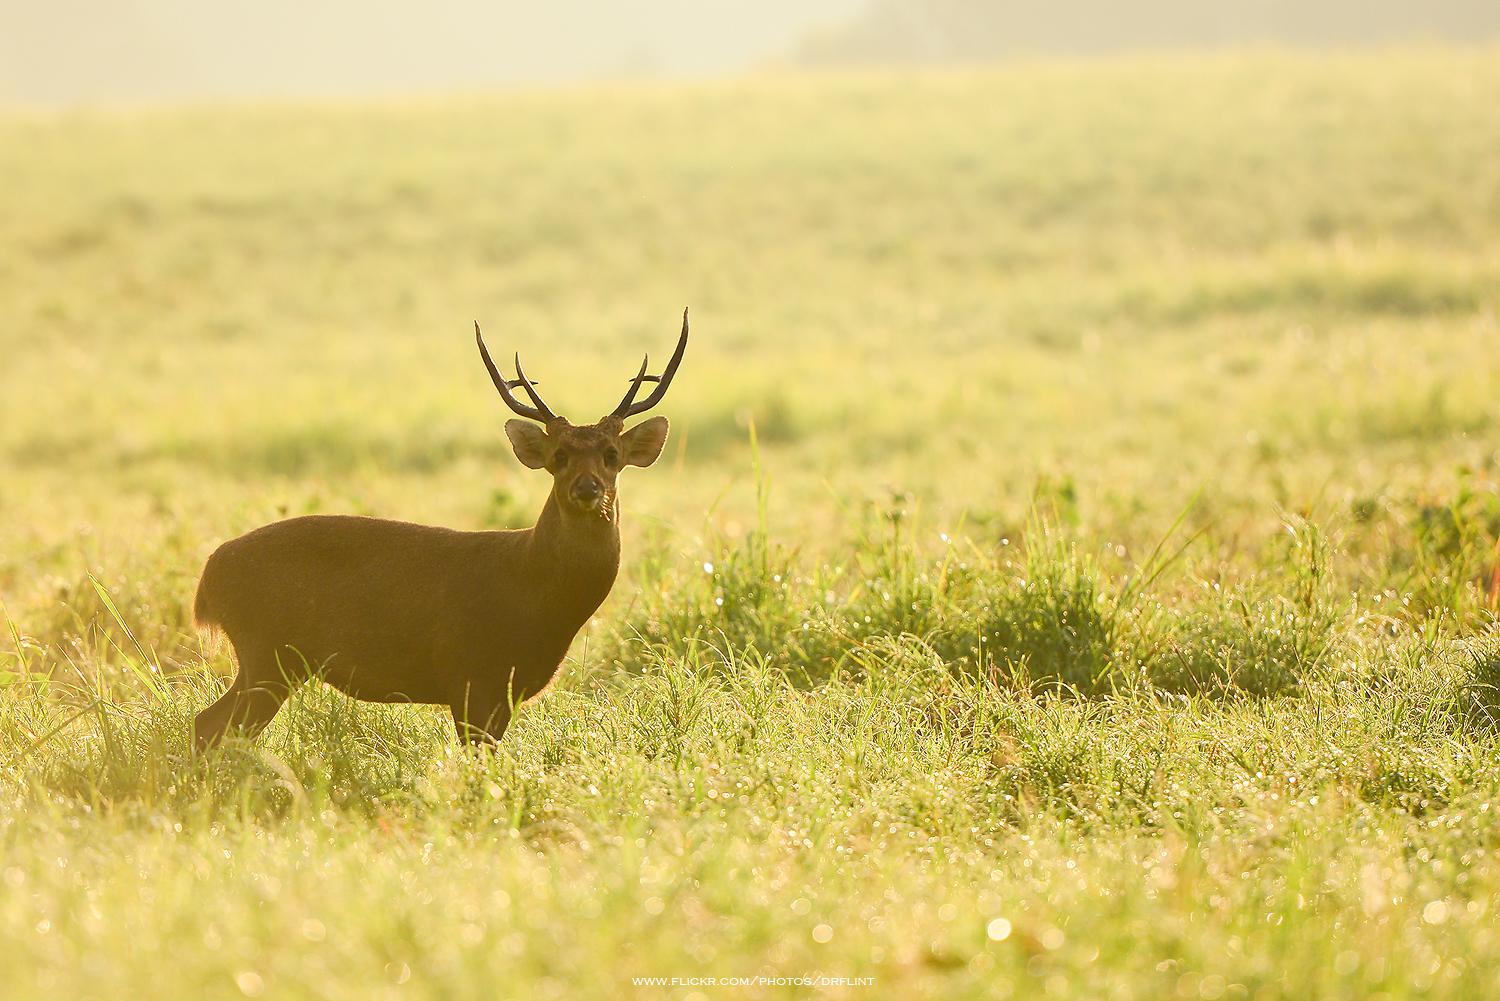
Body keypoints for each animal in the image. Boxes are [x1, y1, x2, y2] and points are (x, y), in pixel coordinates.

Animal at [187, 309, 690, 747]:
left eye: (611, 454)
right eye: (559, 456)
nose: (587, 488)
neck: (534, 589)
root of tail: (209, 573)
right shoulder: (471, 675)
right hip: (267, 650)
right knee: (210, 724)